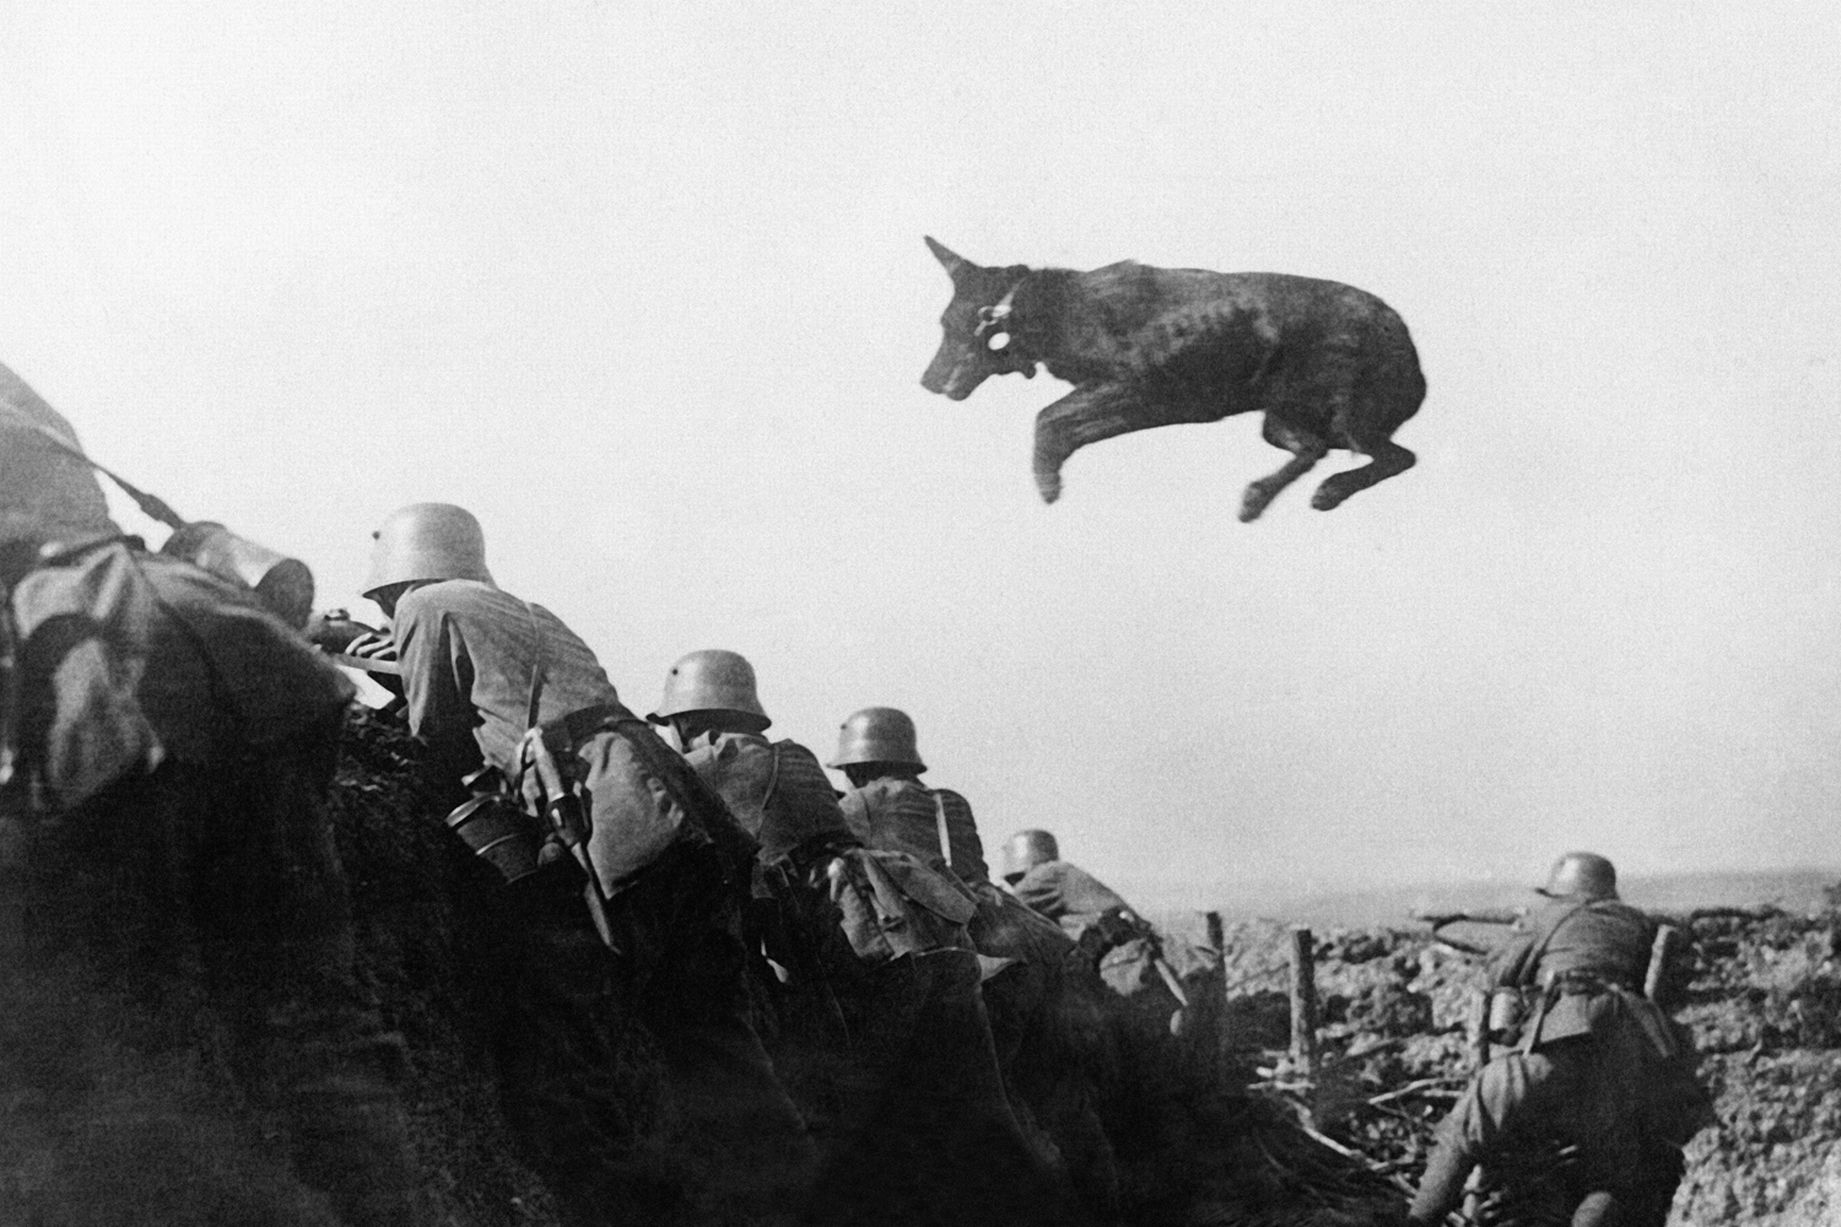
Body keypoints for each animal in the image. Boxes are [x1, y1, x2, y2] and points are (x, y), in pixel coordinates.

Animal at [920, 235, 1421, 519]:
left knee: (1397, 457)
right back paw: (1258, 498)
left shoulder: (1131, 387)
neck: (1043, 309)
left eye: (953, 329)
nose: (926, 382)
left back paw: (1329, 491)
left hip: (1343, 417)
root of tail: (1403, 337)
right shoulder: (1148, 404)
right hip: (1280, 417)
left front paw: (1047, 482)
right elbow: (1069, 426)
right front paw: (1054, 468)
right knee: (1314, 449)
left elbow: (1046, 416)